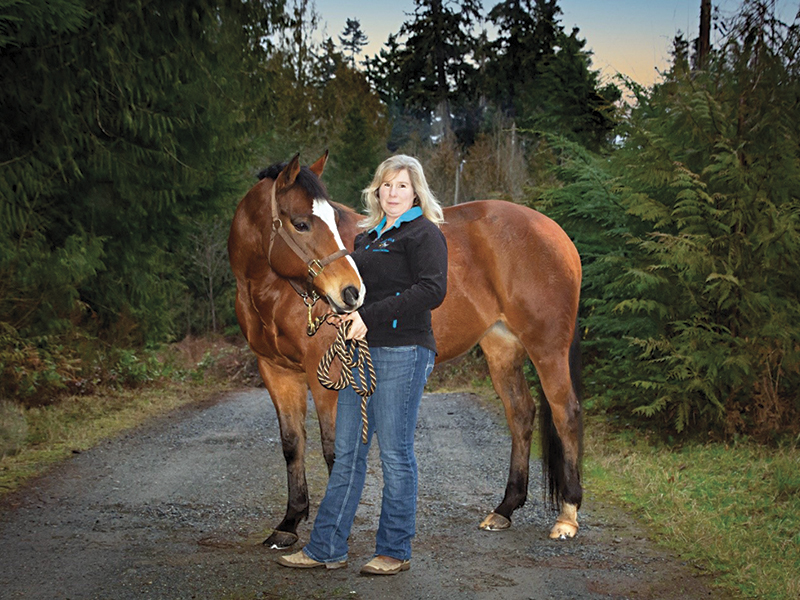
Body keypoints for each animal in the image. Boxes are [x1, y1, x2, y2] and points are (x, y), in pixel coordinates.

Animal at [228, 152, 583, 549]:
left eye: (331, 219)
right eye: (302, 223)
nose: (351, 293)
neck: (276, 292)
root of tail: (555, 232)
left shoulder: (327, 377)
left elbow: (334, 449)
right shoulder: (276, 372)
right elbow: (292, 445)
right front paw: (289, 523)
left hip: (547, 347)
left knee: (566, 414)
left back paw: (567, 516)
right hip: (501, 347)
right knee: (521, 414)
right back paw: (504, 508)